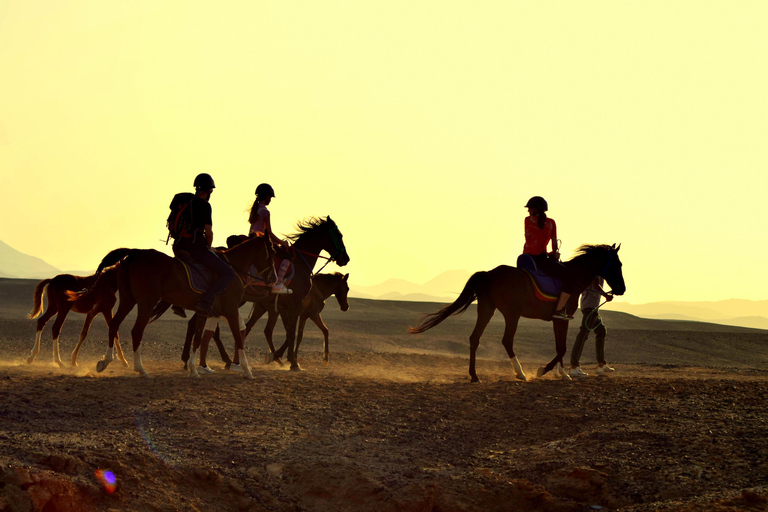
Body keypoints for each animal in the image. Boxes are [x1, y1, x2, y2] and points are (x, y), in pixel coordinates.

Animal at [72, 234, 276, 378]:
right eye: (273, 253)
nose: (273, 278)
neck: (233, 269)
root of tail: (134, 253)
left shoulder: (205, 312)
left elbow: (198, 337)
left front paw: (193, 369)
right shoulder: (231, 310)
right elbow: (238, 337)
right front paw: (247, 370)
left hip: (129, 300)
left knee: (114, 324)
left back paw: (106, 361)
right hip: (146, 302)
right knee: (136, 331)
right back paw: (141, 369)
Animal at [408, 245, 624, 384]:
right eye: (618, 265)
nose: (622, 289)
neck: (574, 276)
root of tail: (490, 274)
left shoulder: (558, 320)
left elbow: (559, 346)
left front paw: (563, 374)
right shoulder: (562, 318)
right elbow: (562, 348)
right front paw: (542, 370)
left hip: (487, 308)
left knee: (474, 338)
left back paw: (475, 376)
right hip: (512, 314)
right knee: (506, 340)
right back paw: (520, 373)